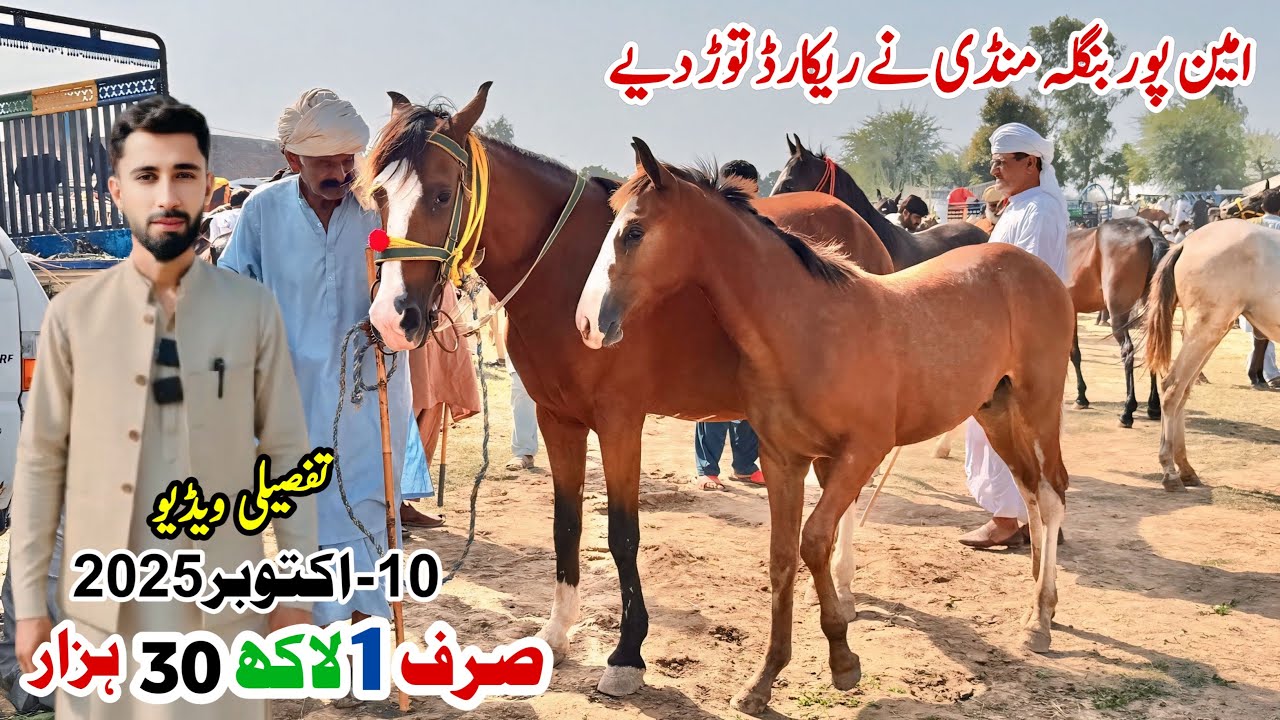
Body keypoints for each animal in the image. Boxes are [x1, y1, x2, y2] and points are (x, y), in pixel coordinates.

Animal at [357, 84, 892, 699]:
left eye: (444, 195)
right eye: (378, 194)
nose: (393, 317)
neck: (567, 271)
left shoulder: (619, 422)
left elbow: (622, 535)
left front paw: (627, 654)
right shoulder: (557, 418)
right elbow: (567, 525)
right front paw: (557, 634)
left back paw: (843, 592)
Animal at [1145, 219, 1280, 491]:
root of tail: (1186, 243)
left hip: (1210, 331)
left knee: (1183, 390)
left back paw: (1185, 469)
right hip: (1207, 328)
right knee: (1172, 387)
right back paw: (1170, 471)